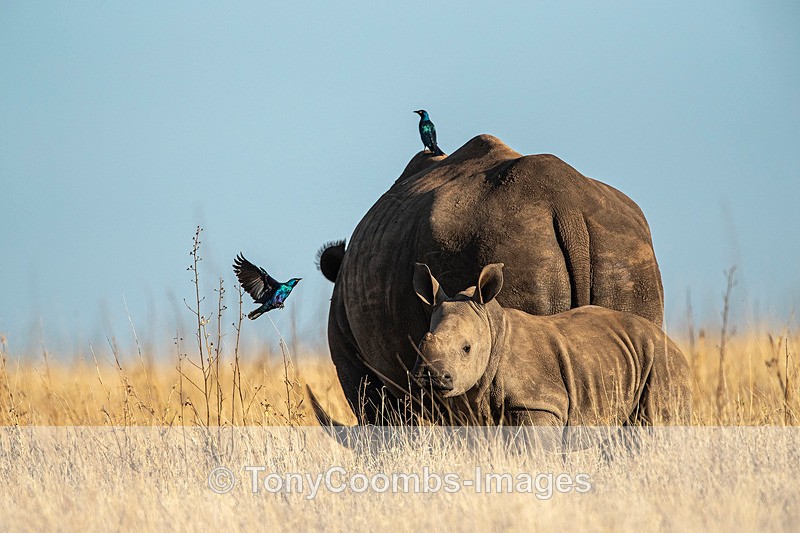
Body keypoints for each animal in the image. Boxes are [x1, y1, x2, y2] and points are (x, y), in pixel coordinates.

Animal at [410, 262, 692, 430]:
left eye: (466, 348)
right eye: (423, 340)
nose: (430, 376)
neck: (493, 329)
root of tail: (672, 343)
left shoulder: (539, 402)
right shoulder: (472, 408)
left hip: (663, 362)